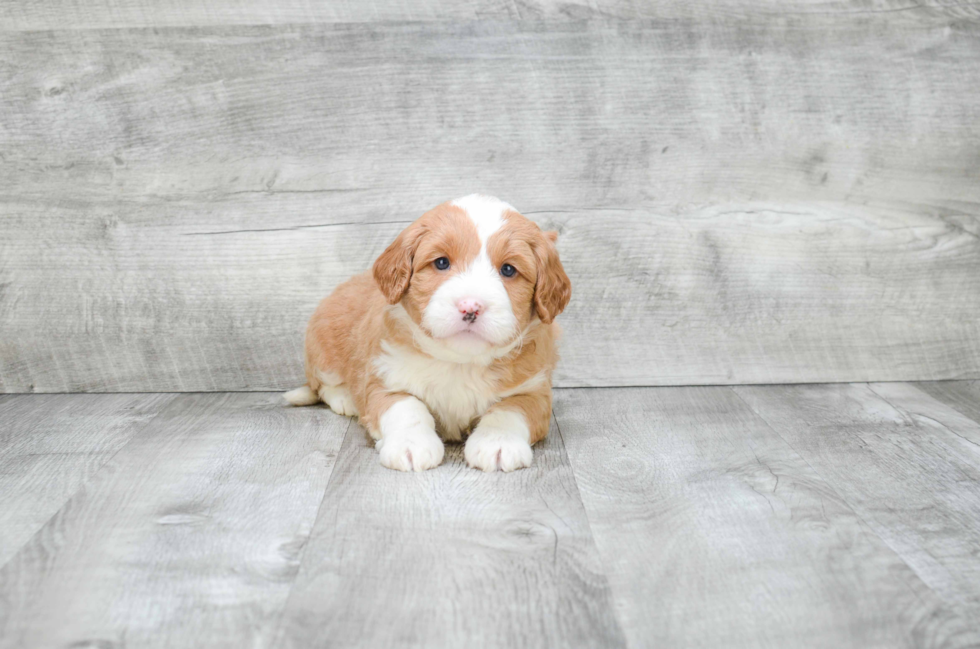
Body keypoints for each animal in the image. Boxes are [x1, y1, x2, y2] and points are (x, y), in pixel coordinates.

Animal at [284, 192, 572, 470]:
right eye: (441, 263)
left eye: (509, 269)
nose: (471, 306)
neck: (460, 363)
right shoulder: (384, 380)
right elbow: (407, 407)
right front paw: (411, 444)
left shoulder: (534, 390)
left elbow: (510, 411)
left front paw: (498, 442)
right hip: (324, 346)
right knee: (323, 385)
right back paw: (346, 399)